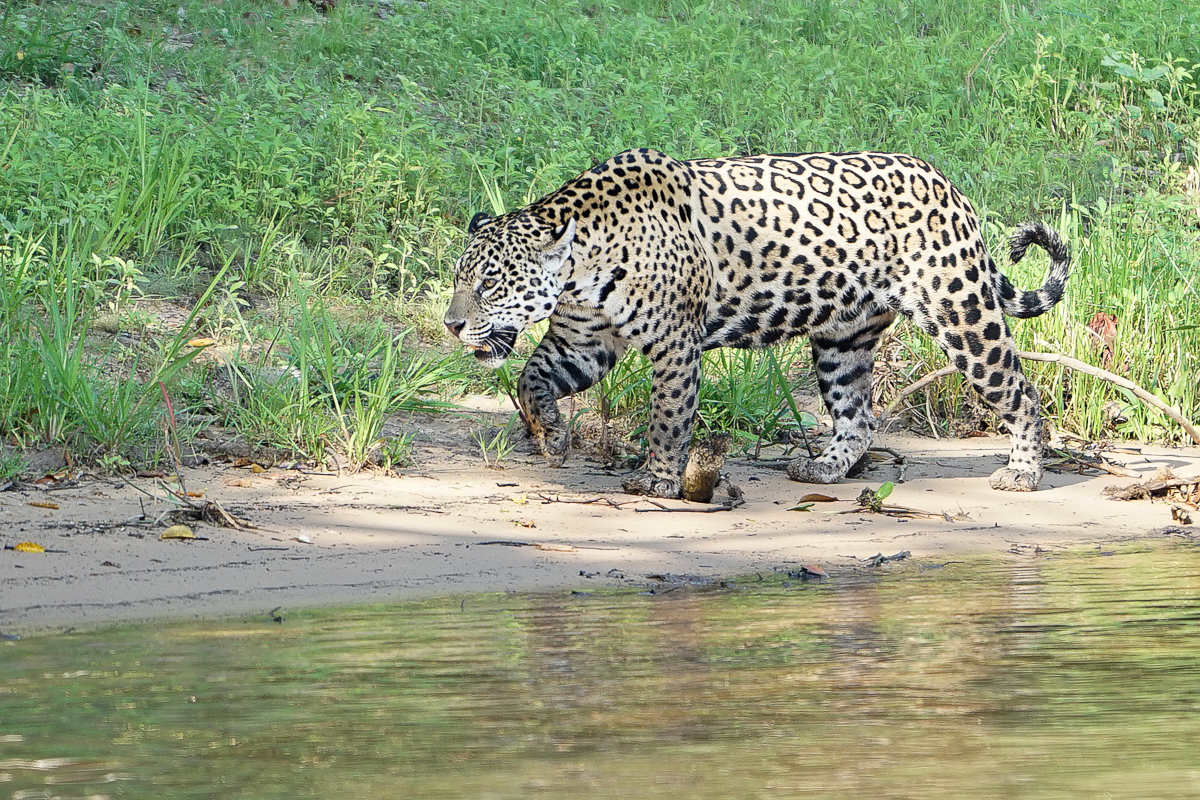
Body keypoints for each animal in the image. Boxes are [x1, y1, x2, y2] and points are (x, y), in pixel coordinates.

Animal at [444, 148, 1071, 499]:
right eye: (458, 278)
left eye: (490, 285)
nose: (451, 325)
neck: (582, 268)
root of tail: (948, 184)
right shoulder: (582, 340)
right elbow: (530, 377)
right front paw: (550, 435)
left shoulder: (674, 344)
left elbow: (668, 418)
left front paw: (658, 479)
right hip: (843, 337)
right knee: (858, 416)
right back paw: (823, 470)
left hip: (960, 313)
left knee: (1022, 391)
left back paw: (1023, 473)